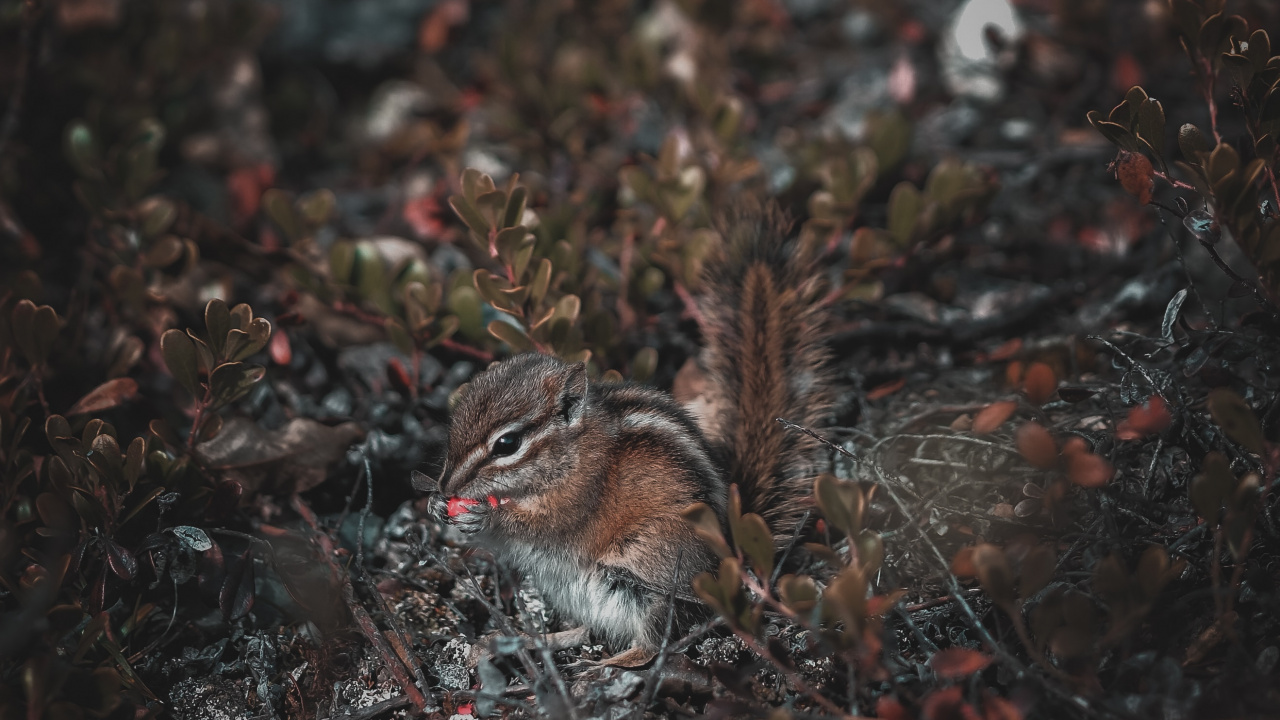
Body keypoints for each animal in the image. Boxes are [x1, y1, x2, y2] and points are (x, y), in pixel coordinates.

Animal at [417, 202, 835, 665]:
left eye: (507, 444)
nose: (447, 486)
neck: (572, 451)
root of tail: (733, 552)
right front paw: (437, 506)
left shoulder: (578, 496)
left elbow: (542, 525)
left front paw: (485, 515)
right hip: (572, 591)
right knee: (588, 629)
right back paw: (538, 641)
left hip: (646, 572)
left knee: (654, 641)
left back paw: (604, 668)